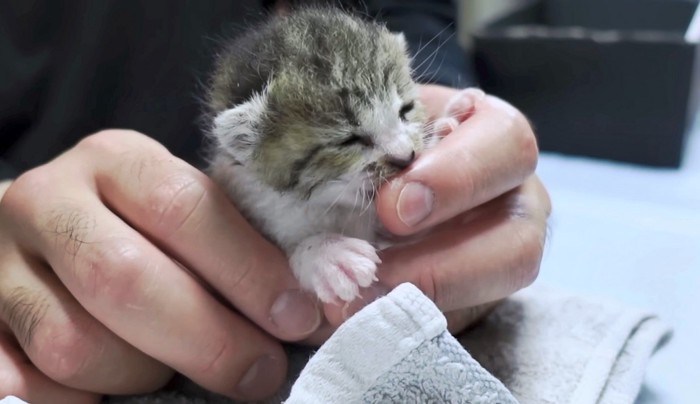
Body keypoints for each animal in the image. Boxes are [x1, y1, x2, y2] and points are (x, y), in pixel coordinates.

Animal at [204, 7, 464, 304]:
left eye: (406, 109)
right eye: (349, 140)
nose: (406, 157)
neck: (332, 205)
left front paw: (446, 127)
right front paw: (326, 254)